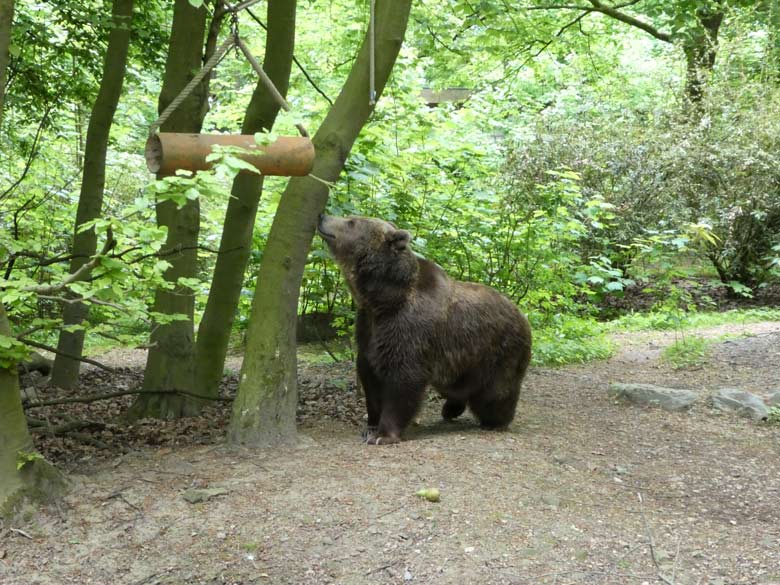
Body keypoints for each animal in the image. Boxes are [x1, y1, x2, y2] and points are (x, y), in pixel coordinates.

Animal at [316, 214, 532, 442]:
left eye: (351, 222)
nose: (322, 216)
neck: (382, 298)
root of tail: (523, 316)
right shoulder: (369, 327)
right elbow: (370, 377)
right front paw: (370, 427)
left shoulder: (409, 328)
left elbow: (404, 379)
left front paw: (384, 434)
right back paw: (451, 409)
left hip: (497, 352)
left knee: (496, 392)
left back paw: (496, 421)